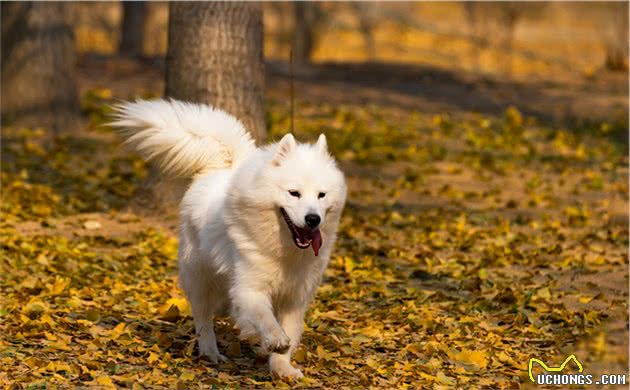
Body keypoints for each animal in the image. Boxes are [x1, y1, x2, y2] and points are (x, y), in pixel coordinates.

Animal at [111, 100, 348, 378]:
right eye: (294, 193)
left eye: (322, 195)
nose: (313, 219)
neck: (283, 250)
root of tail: (219, 167)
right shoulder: (249, 287)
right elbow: (265, 317)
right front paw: (274, 339)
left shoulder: (294, 298)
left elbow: (288, 333)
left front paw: (282, 369)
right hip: (199, 276)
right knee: (203, 318)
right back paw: (210, 352)